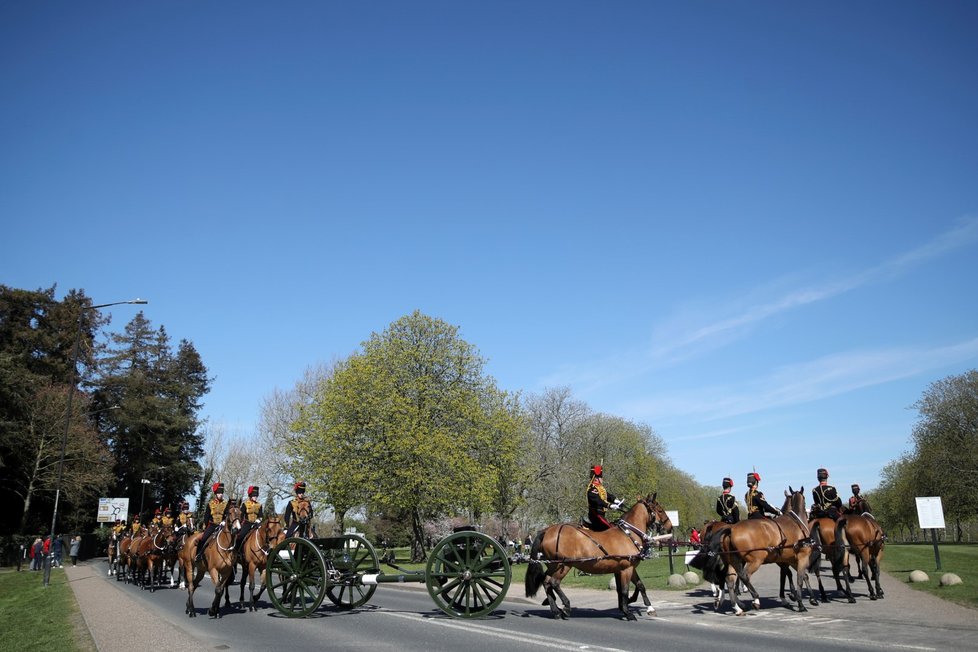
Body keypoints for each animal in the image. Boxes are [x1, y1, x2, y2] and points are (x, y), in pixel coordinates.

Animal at [528, 494, 672, 620]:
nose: (670, 526)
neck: (628, 534)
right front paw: (628, 612)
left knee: (546, 582)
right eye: (659, 510)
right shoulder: (626, 569)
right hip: (564, 565)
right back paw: (566, 607)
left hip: (553, 565)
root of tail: (547, 531)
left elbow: (639, 585)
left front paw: (647, 607)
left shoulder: (625, 568)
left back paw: (555, 610)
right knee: (554, 582)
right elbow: (624, 590)